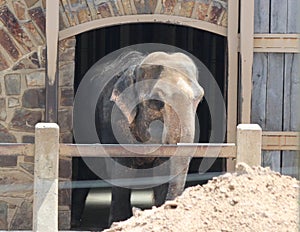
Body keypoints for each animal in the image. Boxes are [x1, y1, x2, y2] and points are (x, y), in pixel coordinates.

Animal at [71, 51, 205, 228]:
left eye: (199, 99)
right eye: (156, 101)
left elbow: (162, 169)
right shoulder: (114, 119)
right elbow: (122, 170)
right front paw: (118, 222)